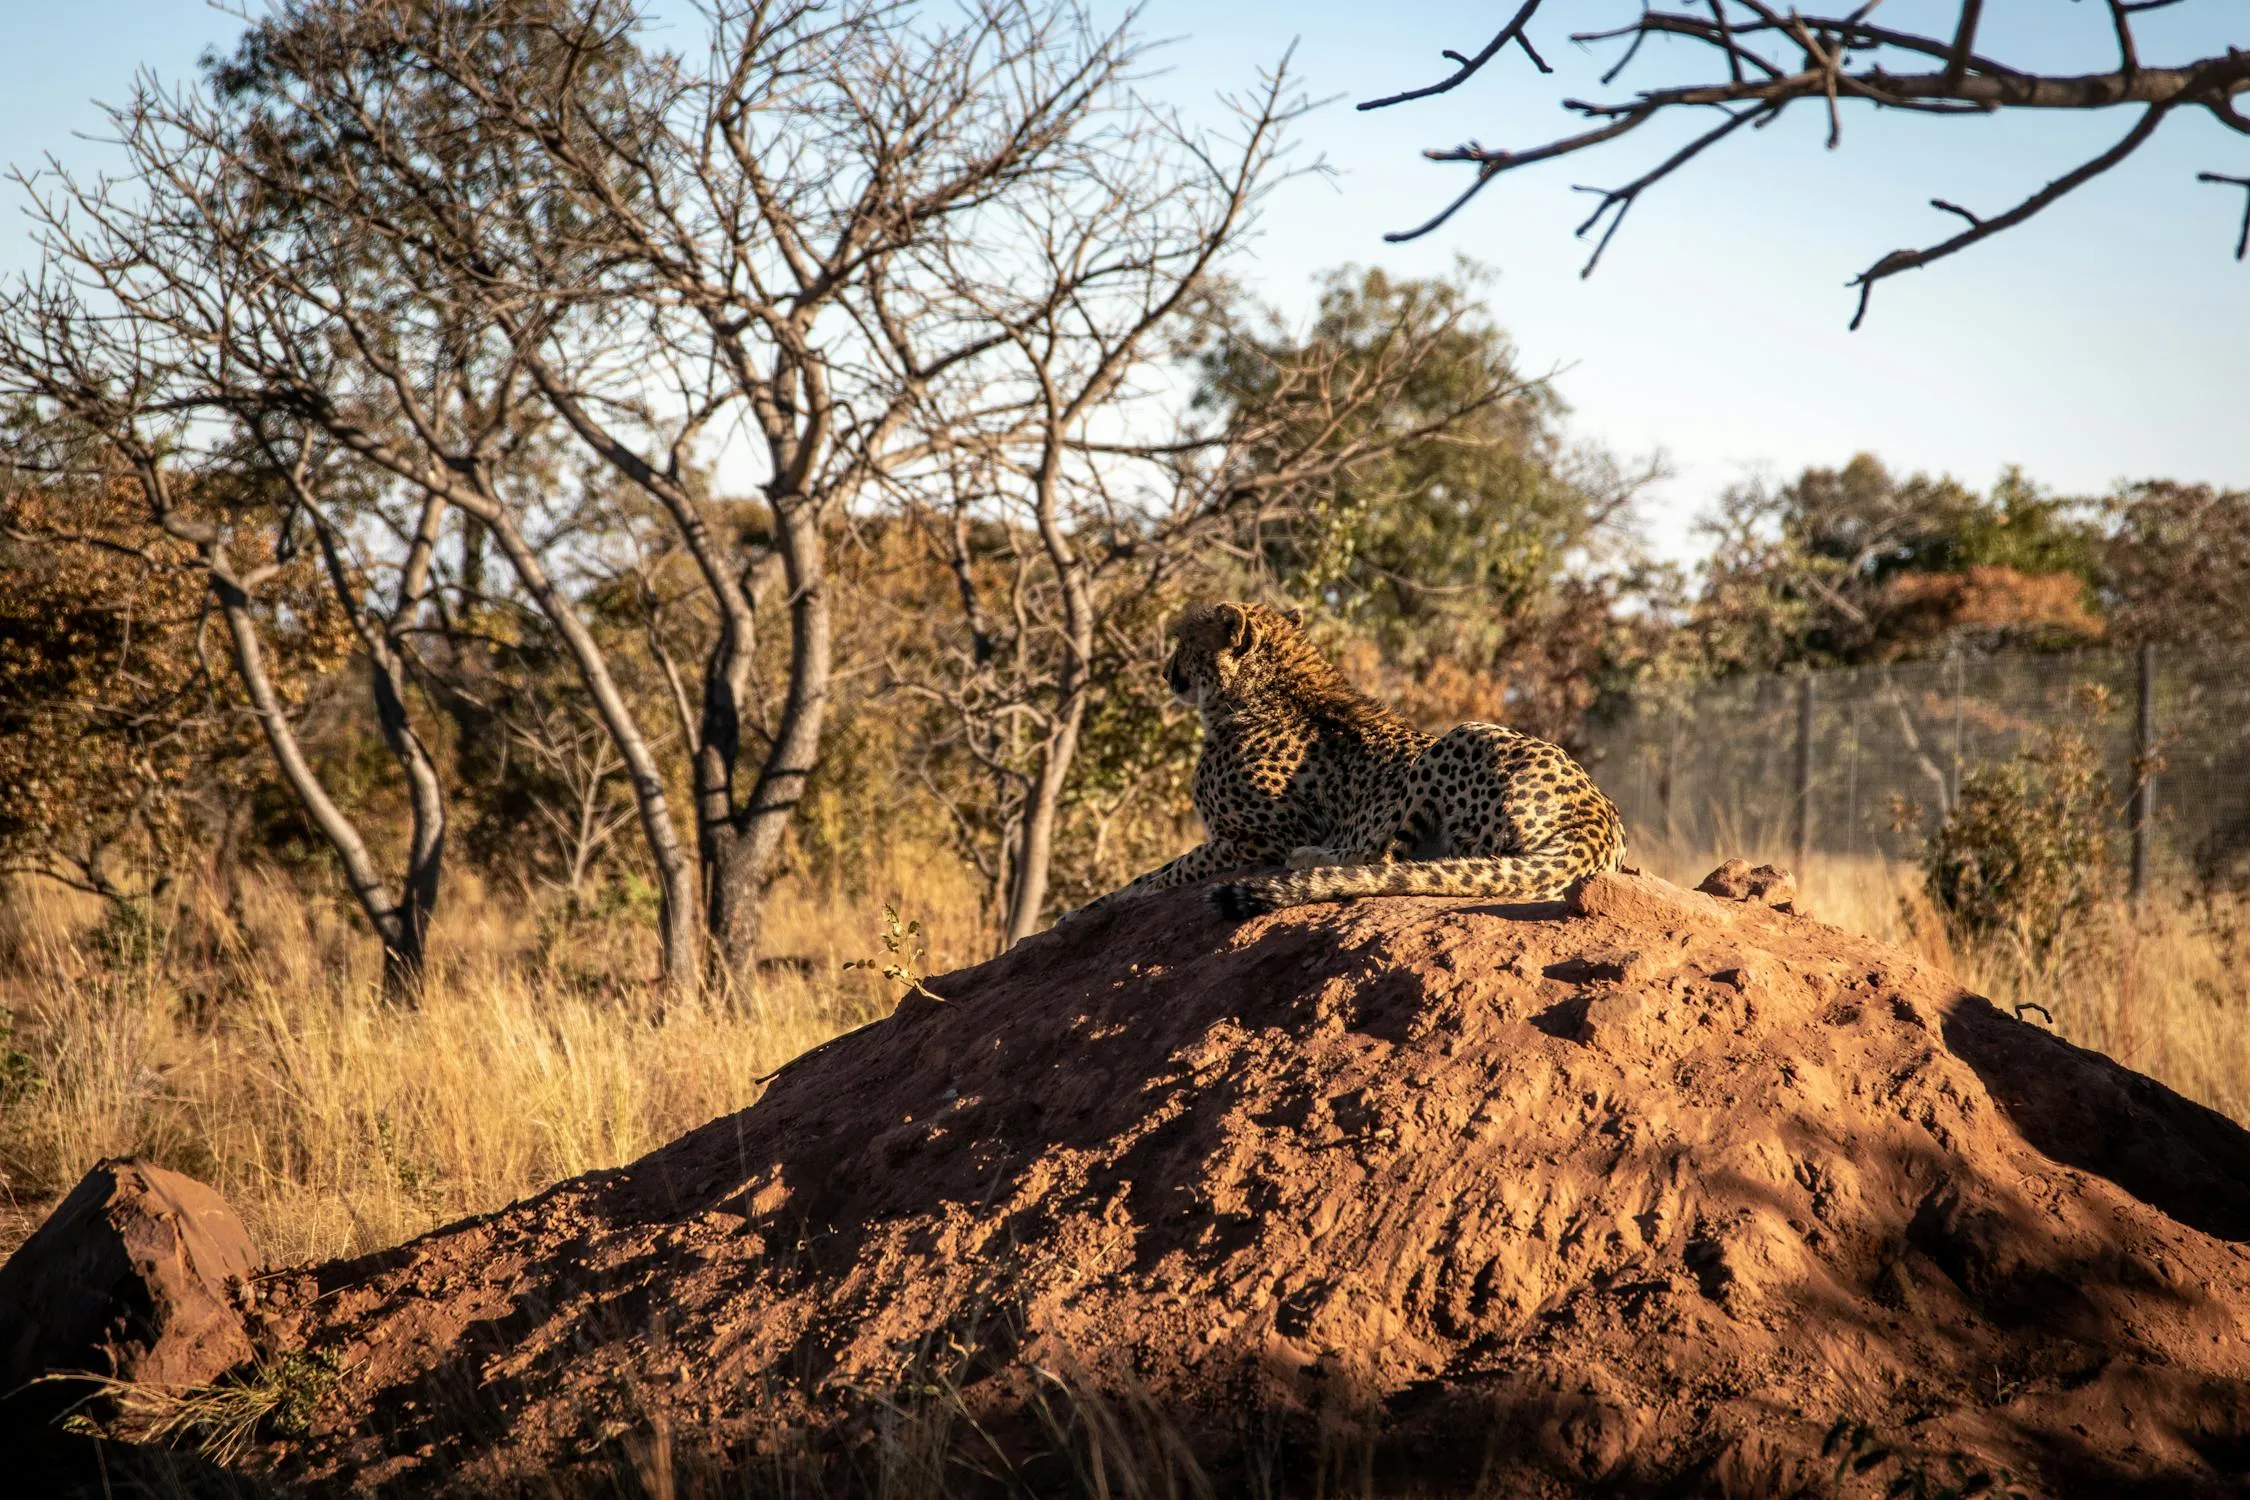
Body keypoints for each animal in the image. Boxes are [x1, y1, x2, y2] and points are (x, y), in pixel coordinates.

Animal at [1069, 599, 1626, 922]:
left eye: (1185, 641)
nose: (1166, 673)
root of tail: (1598, 819)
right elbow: (1156, 873)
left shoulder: (1256, 839)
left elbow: (1160, 874)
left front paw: (1092, 909)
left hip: (1462, 734)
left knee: (1388, 860)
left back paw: (1311, 859)